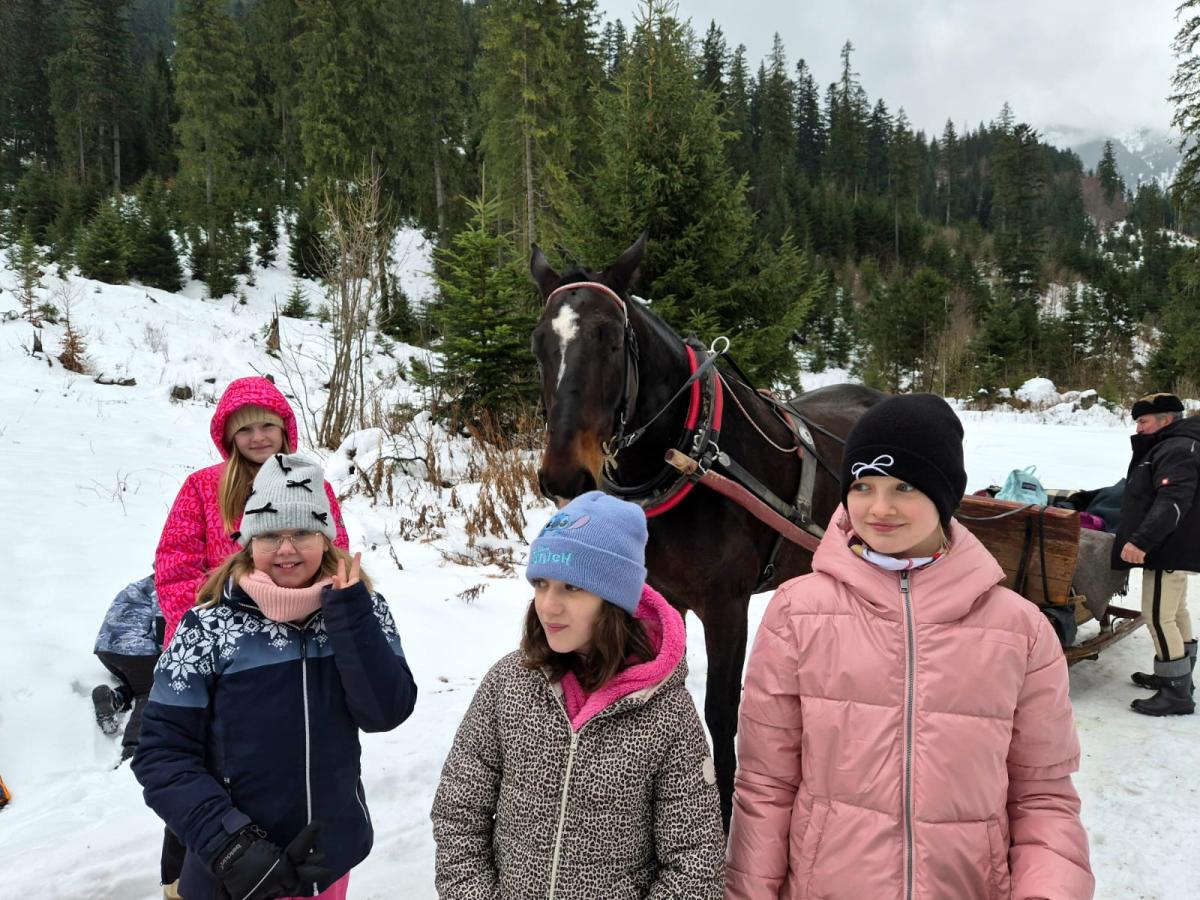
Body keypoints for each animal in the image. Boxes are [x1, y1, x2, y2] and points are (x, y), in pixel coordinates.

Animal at [530, 232, 884, 823]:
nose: (564, 474)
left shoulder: (726, 605)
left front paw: (723, 816)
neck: (689, 453)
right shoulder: (666, 597)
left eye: (610, 338)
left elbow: (722, 712)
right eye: (538, 343)